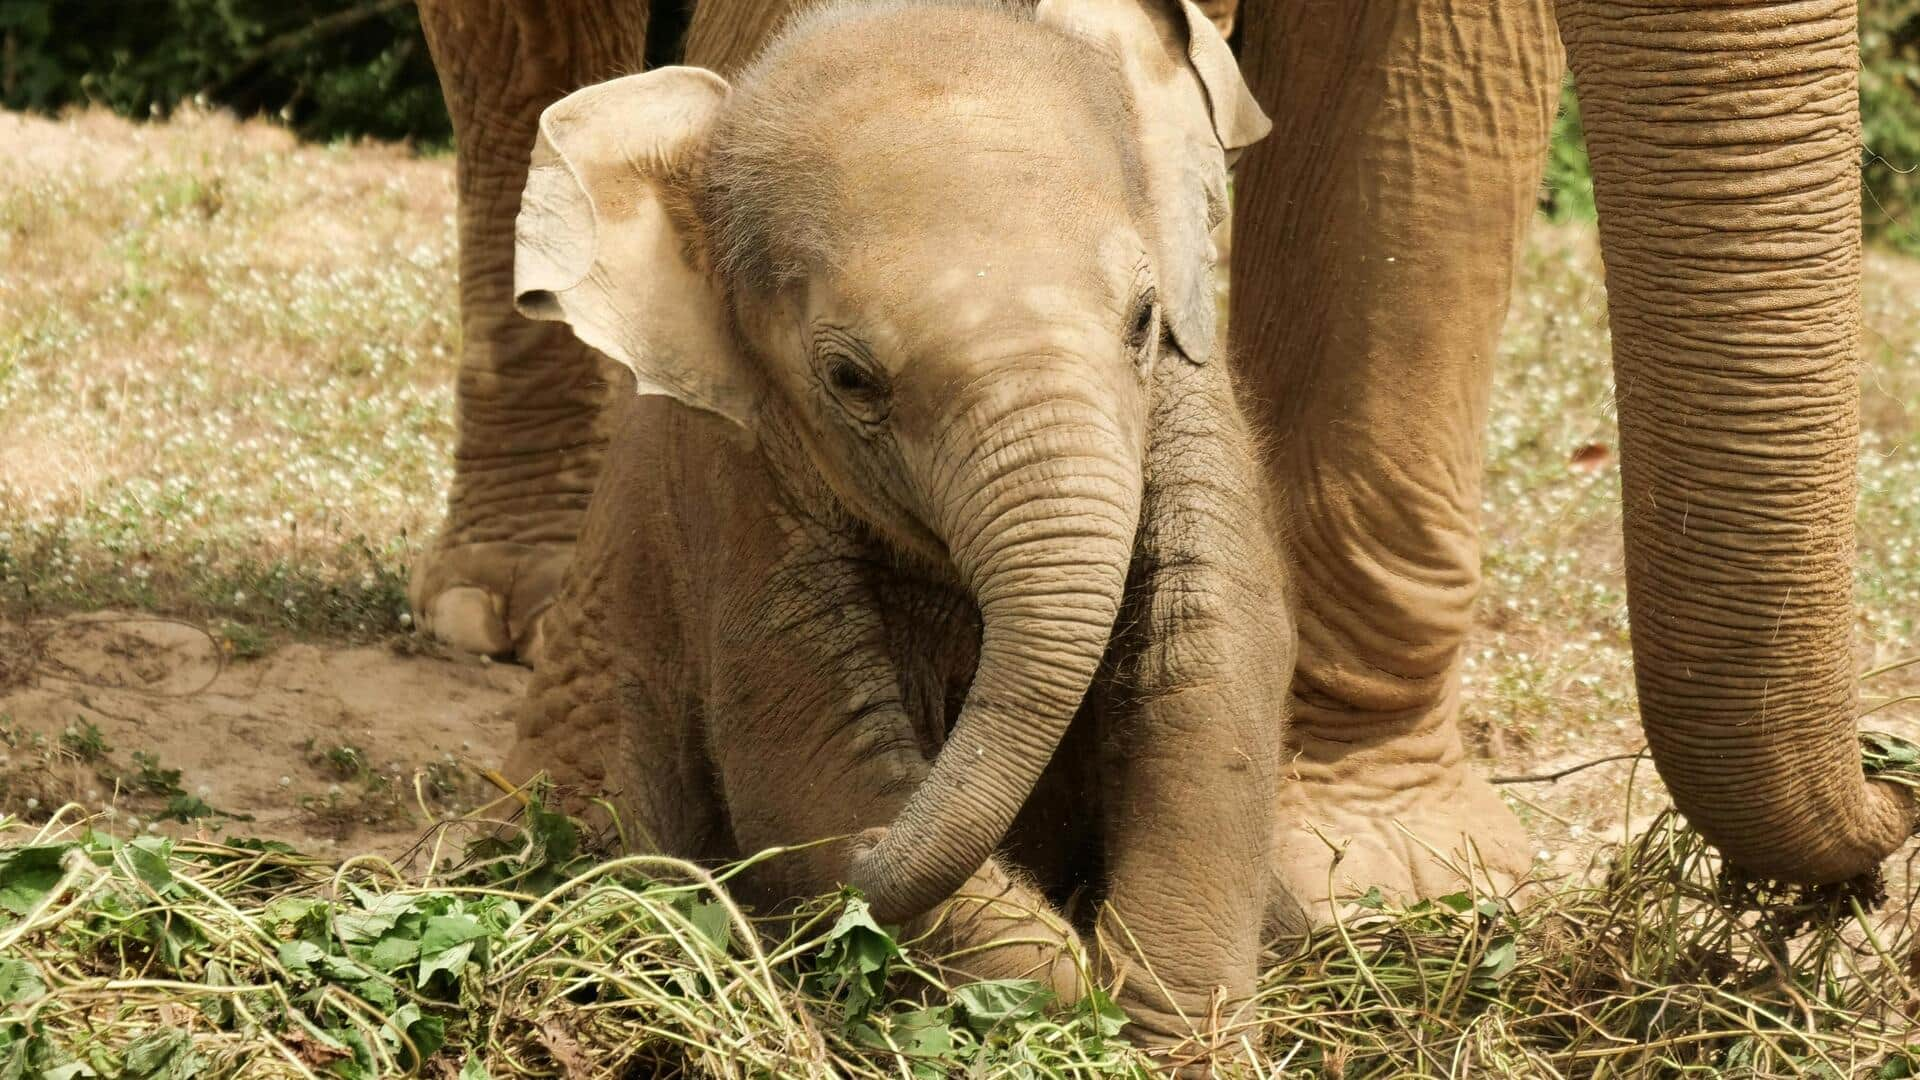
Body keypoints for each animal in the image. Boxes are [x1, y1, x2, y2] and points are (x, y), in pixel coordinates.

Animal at [506, 0, 1290, 1060]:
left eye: (1142, 318)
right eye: (849, 379)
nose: (880, 852)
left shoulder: (1194, 397)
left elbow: (1213, 678)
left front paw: (1161, 1030)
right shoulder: (738, 482)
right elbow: (812, 767)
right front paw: (1059, 996)